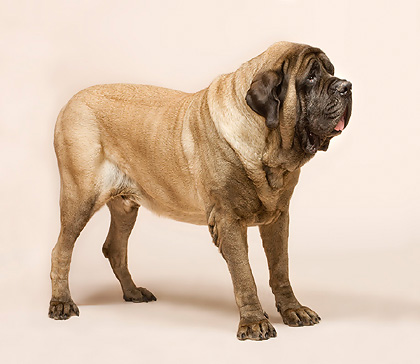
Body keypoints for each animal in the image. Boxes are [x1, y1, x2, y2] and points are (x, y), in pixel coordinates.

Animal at [48, 41, 352, 340]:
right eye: (311, 77)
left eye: (330, 71)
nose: (346, 86)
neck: (267, 147)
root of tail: (70, 102)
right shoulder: (228, 220)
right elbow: (244, 274)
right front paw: (254, 322)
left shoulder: (278, 218)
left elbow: (280, 268)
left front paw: (293, 310)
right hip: (80, 199)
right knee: (61, 249)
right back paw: (61, 302)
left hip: (125, 207)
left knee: (115, 248)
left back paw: (133, 292)